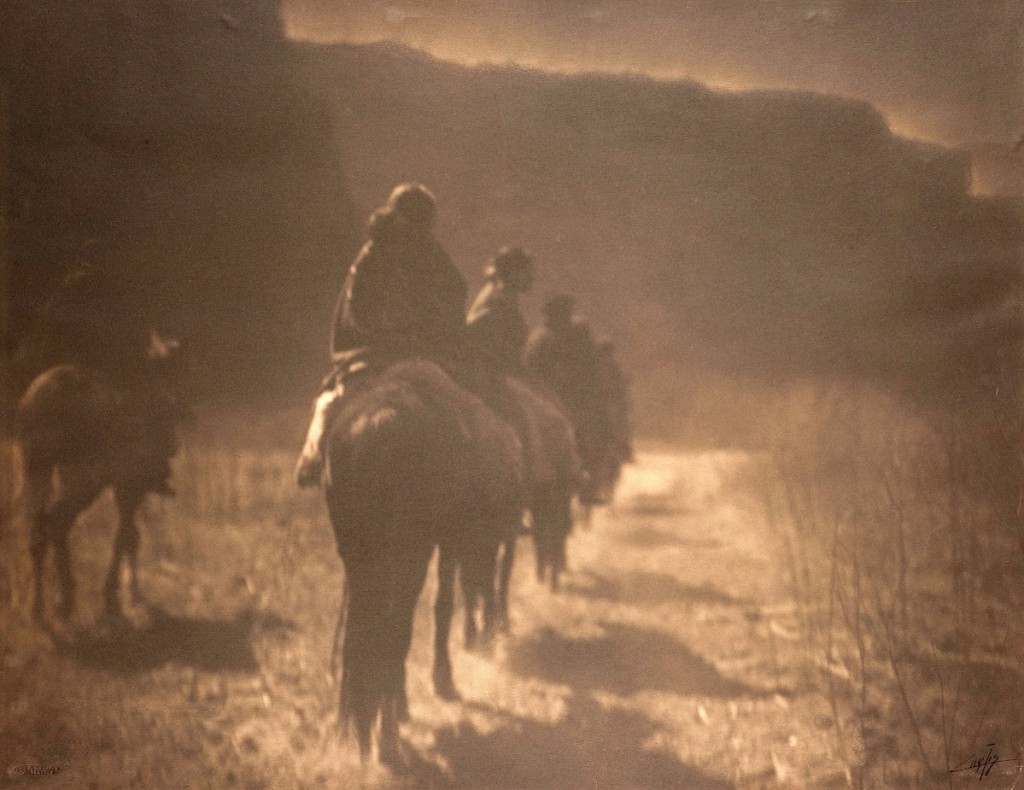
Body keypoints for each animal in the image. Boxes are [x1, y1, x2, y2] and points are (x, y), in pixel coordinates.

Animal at [14, 336, 186, 622]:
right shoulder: (130, 485)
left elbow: (128, 536)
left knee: (40, 526)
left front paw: (123, 595)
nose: (173, 442)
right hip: (84, 478)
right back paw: (64, 600)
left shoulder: (123, 487)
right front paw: (122, 597)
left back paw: (38, 606)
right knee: (57, 520)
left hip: (38, 468)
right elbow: (128, 537)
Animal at [323, 360, 524, 766]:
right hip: (409, 554)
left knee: (368, 632)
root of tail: (380, 424)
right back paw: (386, 735)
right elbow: (443, 605)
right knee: (395, 628)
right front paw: (441, 679)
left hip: (361, 556)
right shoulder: (445, 544)